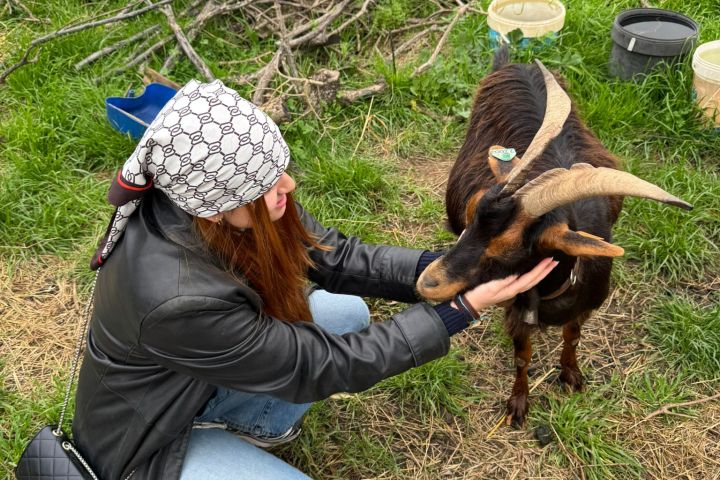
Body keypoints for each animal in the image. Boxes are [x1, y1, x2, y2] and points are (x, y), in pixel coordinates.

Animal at [416, 48, 692, 427]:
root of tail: (516, 62)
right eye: (473, 216)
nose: (427, 283)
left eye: (509, 247)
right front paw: (518, 404)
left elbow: (573, 338)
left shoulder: (586, 305)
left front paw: (571, 375)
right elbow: (522, 356)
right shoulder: (519, 314)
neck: (553, 293)